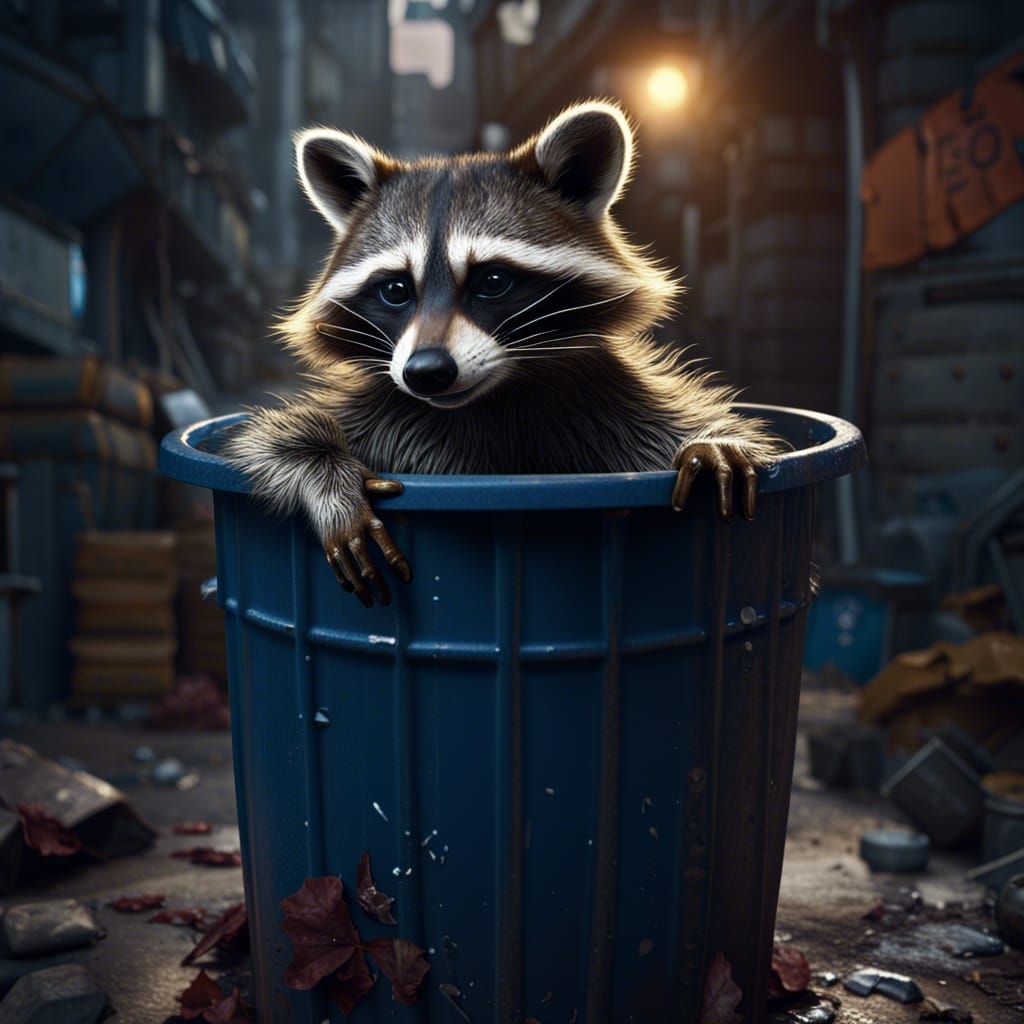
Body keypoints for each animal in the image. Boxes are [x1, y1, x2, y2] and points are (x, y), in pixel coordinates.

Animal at [226, 100, 783, 607]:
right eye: (396, 290)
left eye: (492, 282)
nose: (427, 372)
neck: (490, 400)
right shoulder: (383, 411)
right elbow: (266, 440)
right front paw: (328, 475)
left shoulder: (607, 401)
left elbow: (677, 425)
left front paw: (712, 442)